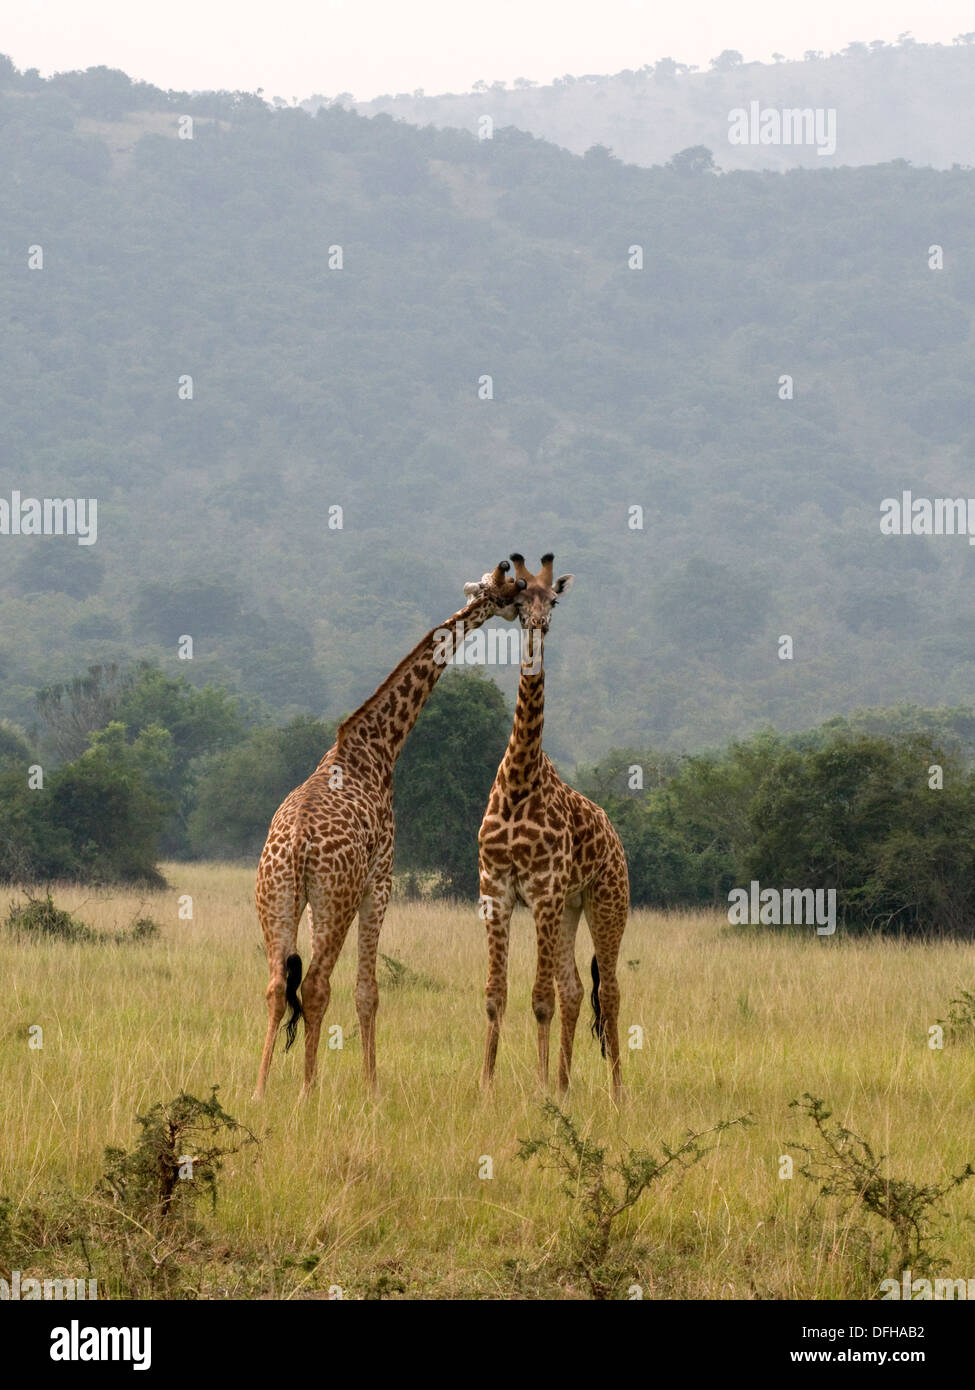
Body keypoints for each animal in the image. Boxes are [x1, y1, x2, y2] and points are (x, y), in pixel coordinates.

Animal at [253, 561, 525, 1095]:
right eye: (509, 590)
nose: (526, 598)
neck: (378, 745)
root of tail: (295, 846)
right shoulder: (380, 881)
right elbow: (368, 991)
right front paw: (373, 1087)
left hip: (277, 897)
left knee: (276, 985)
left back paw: (258, 1089)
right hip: (333, 898)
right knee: (315, 984)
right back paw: (306, 1091)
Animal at [475, 550, 628, 1095]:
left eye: (554, 600)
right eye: (521, 598)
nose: (539, 624)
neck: (520, 780)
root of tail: (615, 837)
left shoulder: (541, 891)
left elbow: (538, 998)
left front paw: (538, 1088)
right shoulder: (496, 889)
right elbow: (496, 994)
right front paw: (487, 1086)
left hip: (606, 902)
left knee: (610, 990)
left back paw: (616, 1092)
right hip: (569, 908)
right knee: (576, 988)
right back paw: (564, 1084)